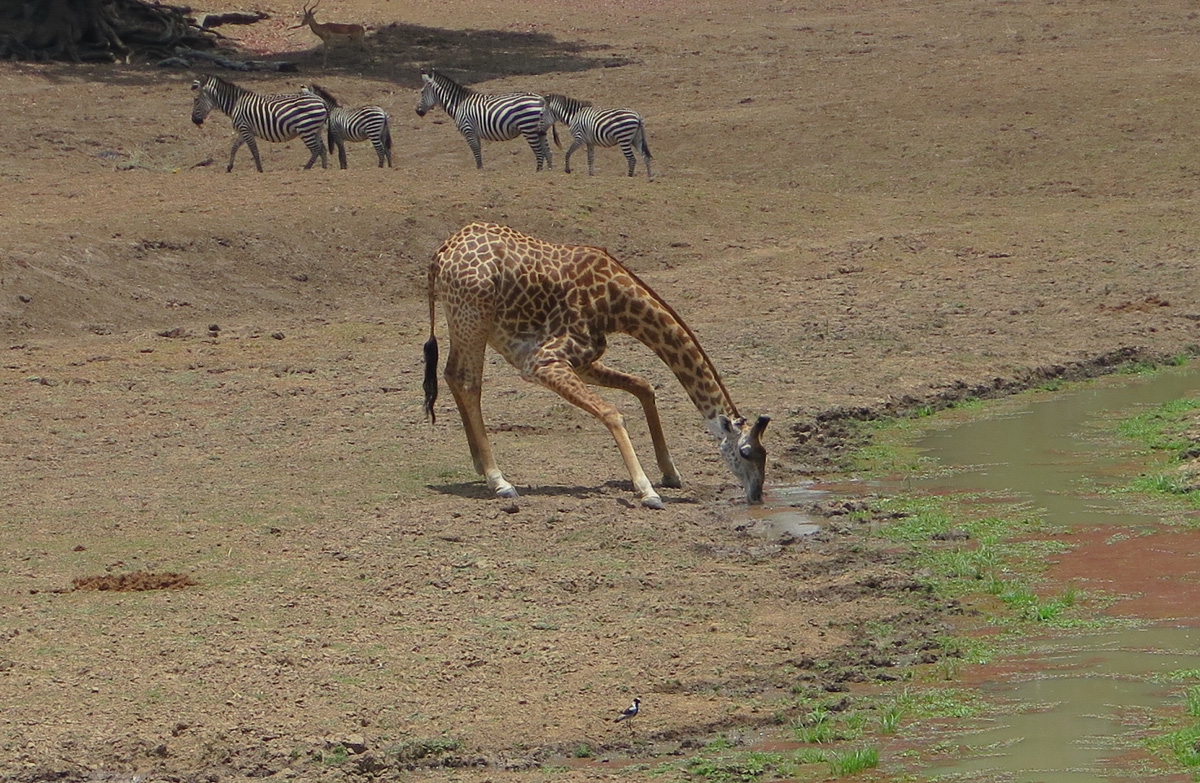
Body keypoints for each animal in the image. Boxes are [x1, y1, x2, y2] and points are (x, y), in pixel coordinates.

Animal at [422, 222, 769, 509]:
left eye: (766, 454)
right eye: (746, 452)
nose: (757, 495)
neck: (618, 305)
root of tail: (439, 255)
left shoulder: (584, 362)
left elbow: (643, 385)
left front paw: (670, 473)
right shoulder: (543, 362)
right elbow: (612, 412)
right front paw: (647, 491)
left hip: (464, 320)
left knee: (452, 374)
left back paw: (480, 464)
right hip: (473, 316)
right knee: (468, 381)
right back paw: (499, 480)